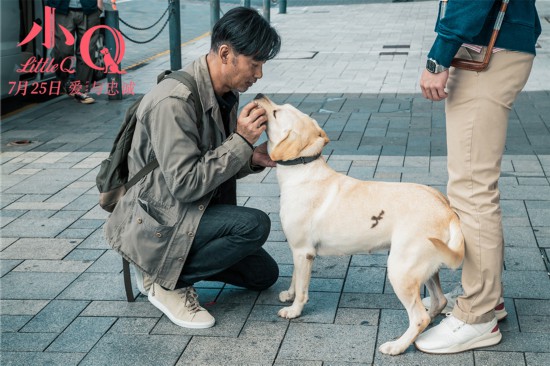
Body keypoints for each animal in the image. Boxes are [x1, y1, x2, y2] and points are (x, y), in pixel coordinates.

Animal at [254, 93, 466, 354]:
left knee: (419, 317)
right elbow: (295, 277)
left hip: (400, 269)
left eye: (276, 113)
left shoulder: (304, 252)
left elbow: (303, 288)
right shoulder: (297, 250)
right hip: (427, 267)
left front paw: (294, 310)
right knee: (439, 301)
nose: (258, 95)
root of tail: (447, 210)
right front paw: (289, 294)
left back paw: (397, 346)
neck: (302, 168)